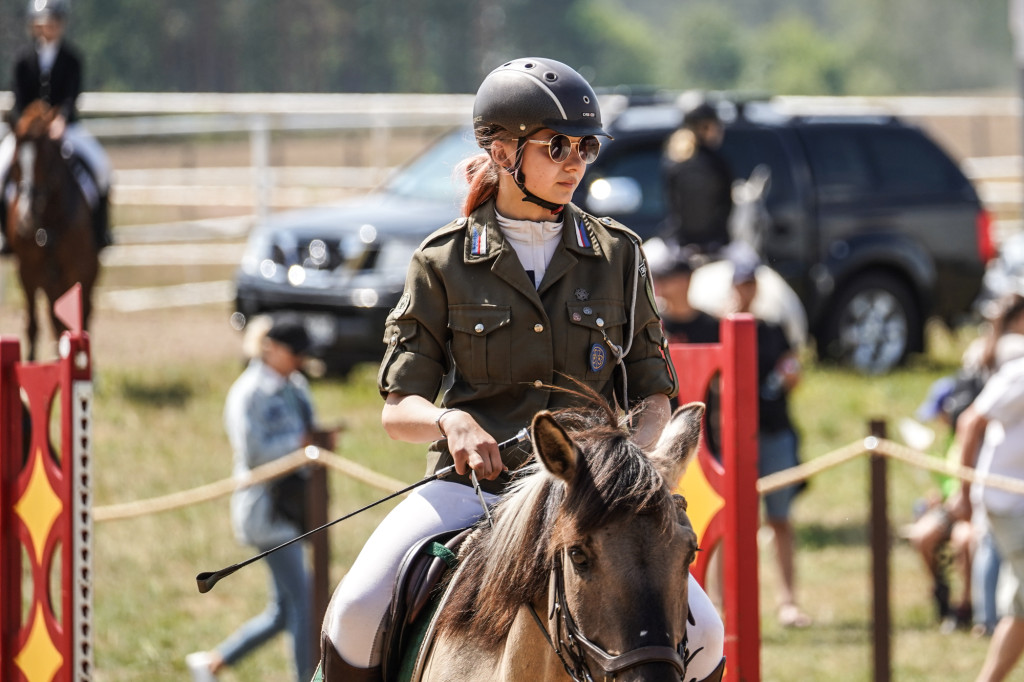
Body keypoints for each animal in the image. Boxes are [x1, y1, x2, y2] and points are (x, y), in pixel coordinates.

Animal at [6, 99, 98, 360]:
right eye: (15, 165)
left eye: (46, 161)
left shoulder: (79, 269)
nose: (26, 218)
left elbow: (79, 318)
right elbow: (33, 324)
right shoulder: (27, 271)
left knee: (83, 315)